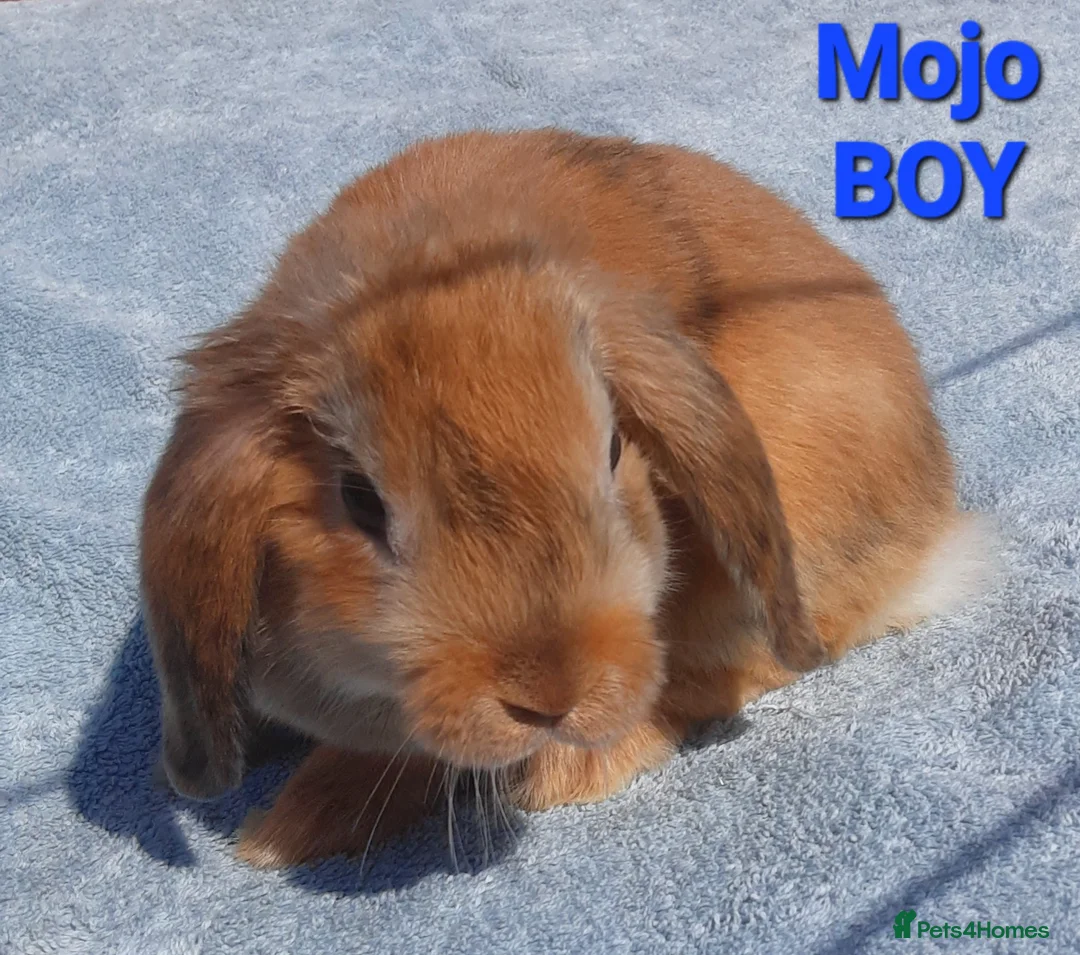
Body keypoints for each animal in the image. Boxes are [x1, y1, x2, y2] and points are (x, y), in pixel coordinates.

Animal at [140, 128, 994, 868]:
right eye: (359, 499)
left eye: (614, 447)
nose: (550, 697)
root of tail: (933, 522)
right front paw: (292, 822)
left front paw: (292, 826)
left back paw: (565, 777)